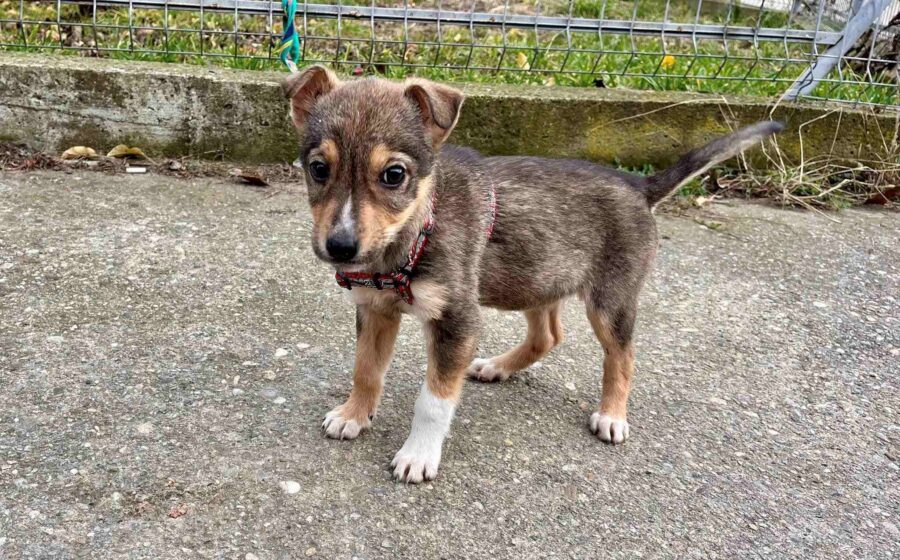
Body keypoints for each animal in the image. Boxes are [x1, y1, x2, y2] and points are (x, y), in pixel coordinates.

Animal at [283, 65, 782, 483]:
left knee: (621, 356)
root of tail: (639, 186)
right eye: (318, 168)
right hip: (536, 280)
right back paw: (497, 367)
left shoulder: (458, 321)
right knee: (548, 336)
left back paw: (612, 415)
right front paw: (354, 414)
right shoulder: (375, 311)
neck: (415, 230)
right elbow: (366, 369)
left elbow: (433, 401)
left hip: (611, 301)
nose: (340, 247)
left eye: (393, 175)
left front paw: (419, 454)